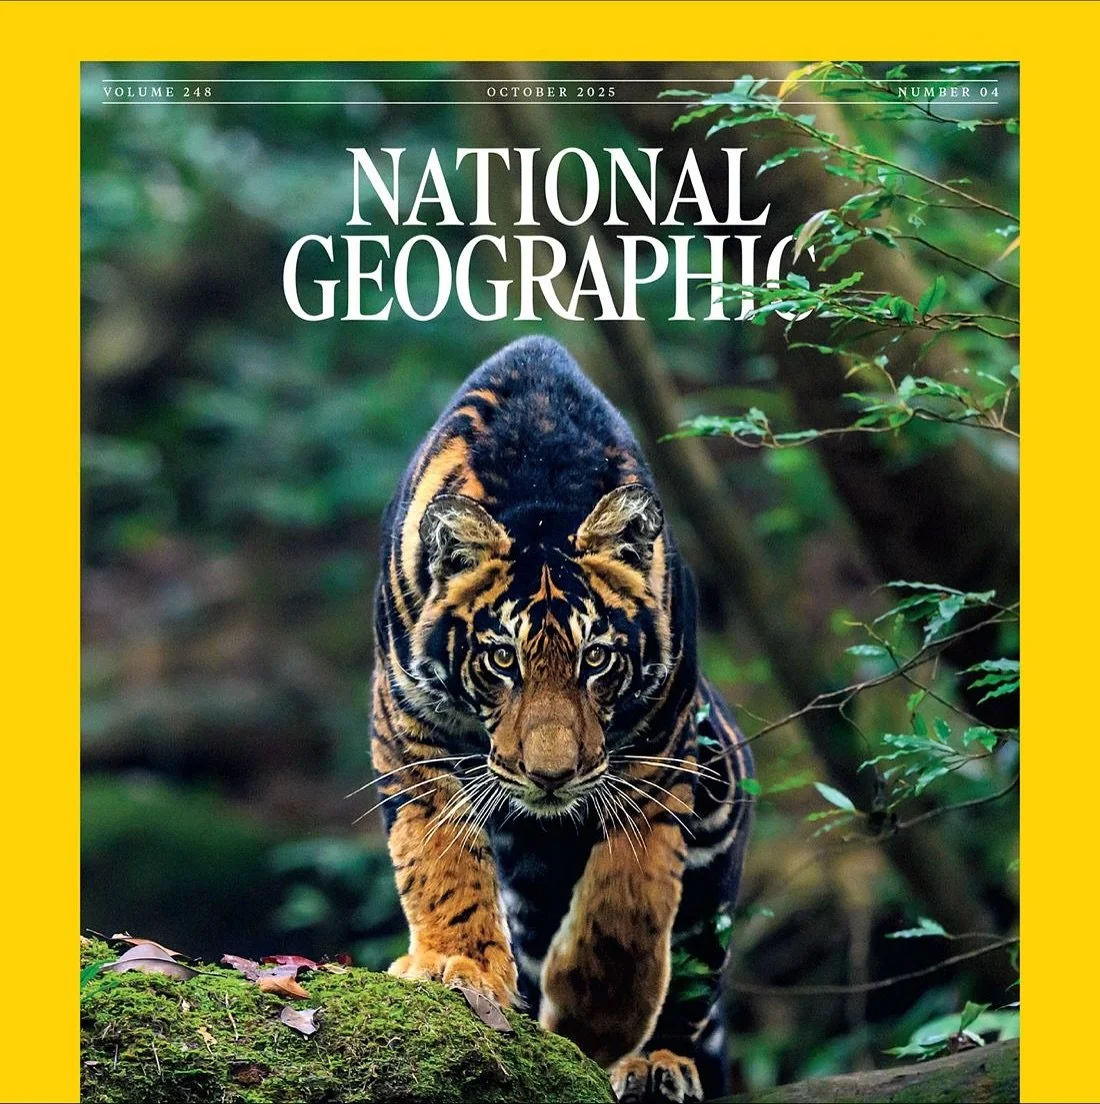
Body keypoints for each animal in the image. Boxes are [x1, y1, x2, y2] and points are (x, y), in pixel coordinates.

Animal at [370, 336, 754, 1103]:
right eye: (502, 659)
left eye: (595, 659)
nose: (550, 776)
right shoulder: (409, 729)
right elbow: (439, 858)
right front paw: (456, 966)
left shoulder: (662, 747)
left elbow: (630, 896)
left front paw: (600, 1020)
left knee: (693, 973)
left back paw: (656, 1064)